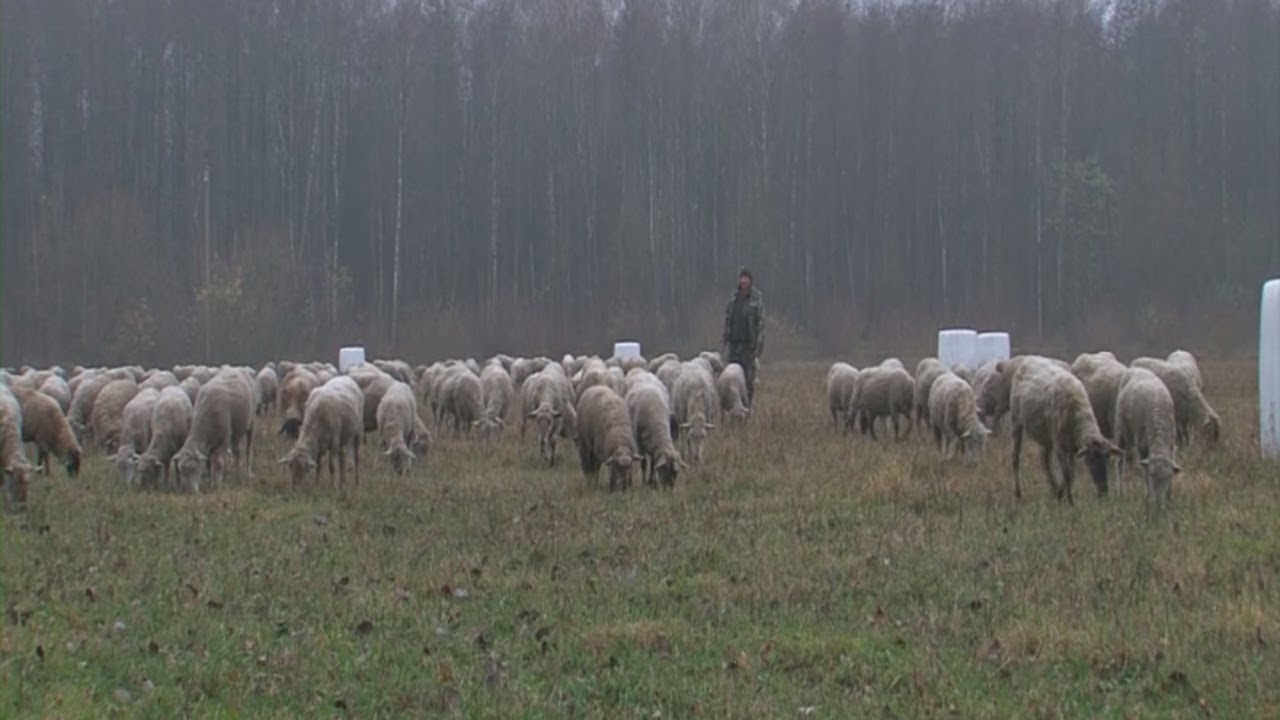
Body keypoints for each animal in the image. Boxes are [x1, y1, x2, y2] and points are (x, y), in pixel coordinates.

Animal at [1003, 356, 1116, 502]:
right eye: (1091, 459)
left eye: (1107, 457)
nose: (1103, 490)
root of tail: (1029, 359)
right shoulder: (1060, 446)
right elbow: (1067, 475)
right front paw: (1070, 501)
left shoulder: (1073, 447)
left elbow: (1071, 474)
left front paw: (1061, 493)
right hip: (1016, 421)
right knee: (1015, 457)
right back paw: (1018, 493)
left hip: (1046, 435)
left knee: (1045, 460)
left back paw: (1053, 488)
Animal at [1111, 366, 1177, 502]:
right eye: (1152, 475)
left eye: (1167, 477)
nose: (1159, 502)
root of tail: (1134, 368)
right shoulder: (1141, 447)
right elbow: (1144, 472)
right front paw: (1148, 495)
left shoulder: (1172, 447)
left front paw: (1169, 496)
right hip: (1120, 429)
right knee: (1119, 462)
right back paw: (1121, 493)